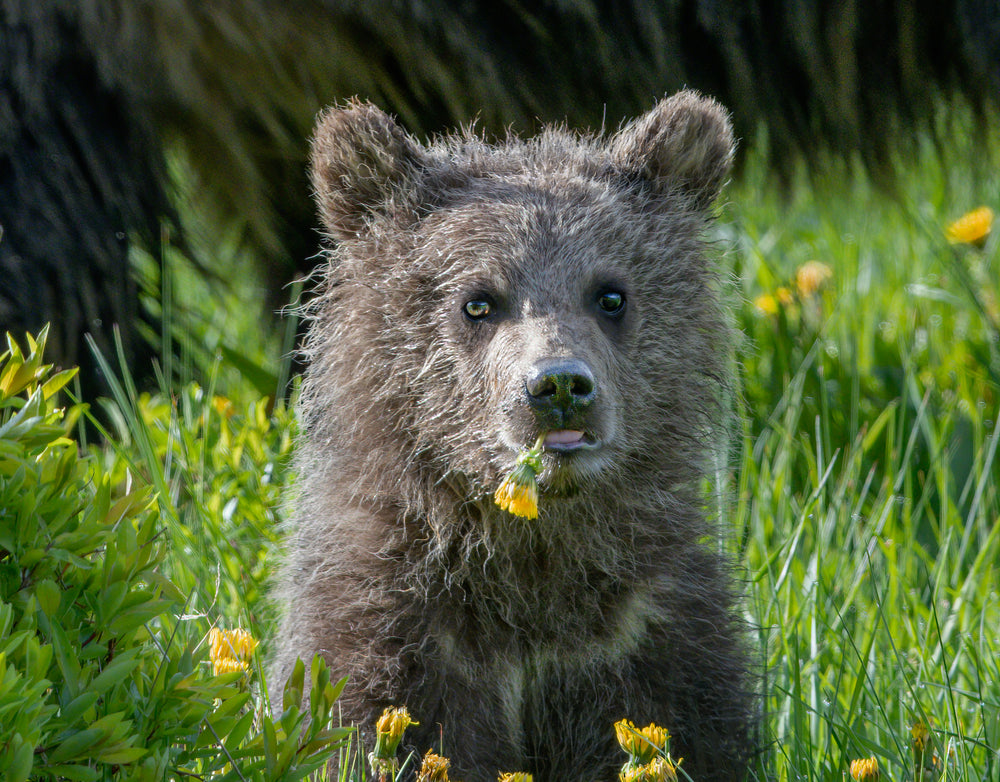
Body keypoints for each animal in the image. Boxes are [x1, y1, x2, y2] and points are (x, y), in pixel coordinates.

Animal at [270, 90, 752, 782]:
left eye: (611, 295)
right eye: (478, 301)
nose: (558, 386)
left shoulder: (648, 638)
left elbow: (680, 730)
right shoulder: (394, 633)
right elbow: (375, 732)